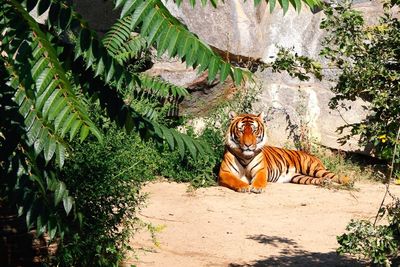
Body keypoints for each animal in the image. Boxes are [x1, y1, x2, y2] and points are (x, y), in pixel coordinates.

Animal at [219, 112, 350, 194]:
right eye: (241, 131)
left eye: (254, 131)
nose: (248, 145)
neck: (245, 156)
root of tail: (312, 155)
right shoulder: (224, 172)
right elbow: (235, 180)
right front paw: (244, 187)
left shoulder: (261, 170)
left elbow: (259, 180)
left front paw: (257, 188)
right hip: (299, 177)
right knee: (317, 179)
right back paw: (324, 182)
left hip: (313, 168)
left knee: (334, 175)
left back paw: (349, 181)